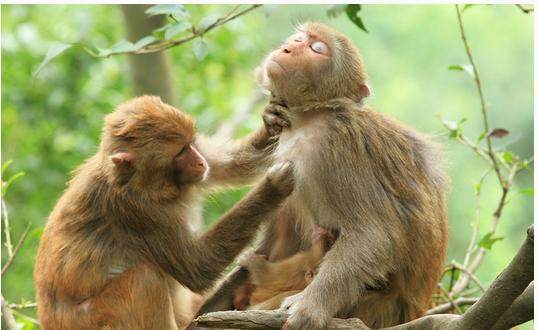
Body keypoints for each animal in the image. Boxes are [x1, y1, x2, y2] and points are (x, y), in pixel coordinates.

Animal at [34, 94, 294, 328]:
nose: (200, 161)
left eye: (191, 144)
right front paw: (272, 188)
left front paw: (271, 121)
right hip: (95, 319)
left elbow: (229, 164)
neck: (137, 182)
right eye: (180, 152)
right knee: (145, 280)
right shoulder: (140, 212)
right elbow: (197, 266)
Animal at [199, 21, 446, 328]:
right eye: (298, 38)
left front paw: (310, 307)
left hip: (372, 309)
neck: (310, 117)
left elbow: (373, 235)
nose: (288, 48)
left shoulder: (337, 145)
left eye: (317, 48)